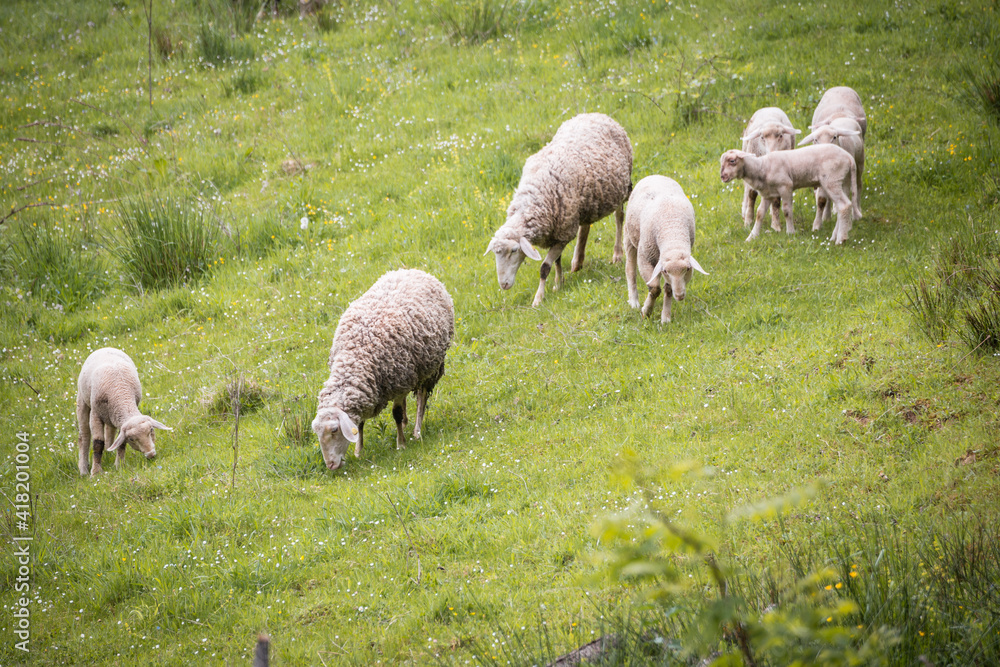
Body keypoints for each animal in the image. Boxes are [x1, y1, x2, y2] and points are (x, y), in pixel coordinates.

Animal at [76, 347, 171, 476]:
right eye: (131, 439)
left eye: (151, 430)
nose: (151, 454)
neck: (120, 393)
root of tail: (105, 347)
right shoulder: (95, 415)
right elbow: (97, 444)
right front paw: (96, 472)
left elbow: (121, 443)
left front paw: (119, 466)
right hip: (82, 399)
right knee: (84, 435)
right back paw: (83, 469)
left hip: (111, 414)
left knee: (110, 429)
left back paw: (109, 451)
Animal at [312, 269, 454, 471]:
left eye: (334, 429)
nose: (331, 465)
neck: (356, 355)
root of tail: (411, 270)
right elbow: (360, 424)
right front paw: (358, 450)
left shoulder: (400, 384)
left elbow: (396, 414)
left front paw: (401, 444)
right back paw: (407, 423)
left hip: (429, 368)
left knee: (422, 397)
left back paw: (417, 431)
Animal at [484, 112, 633, 307]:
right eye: (495, 253)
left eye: (514, 250)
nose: (504, 285)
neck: (534, 199)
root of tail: (595, 114)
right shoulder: (557, 232)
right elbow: (556, 260)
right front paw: (558, 283)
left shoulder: (563, 232)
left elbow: (544, 267)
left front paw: (539, 298)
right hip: (585, 203)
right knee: (585, 225)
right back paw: (577, 261)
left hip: (623, 187)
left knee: (619, 218)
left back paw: (617, 254)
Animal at [624, 175, 708, 324]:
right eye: (665, 271)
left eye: (687, 269)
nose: (679, 296)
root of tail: (655, 175)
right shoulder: (645, 259)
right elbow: (654, 288)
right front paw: (646, 311)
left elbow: (668, 289)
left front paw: (666, 318)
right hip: (630, 237)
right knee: (630, 269)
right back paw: (634, 301)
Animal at [719, 145, 861, 244]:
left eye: (732, 161)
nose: (722, 177)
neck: (762, 167)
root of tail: (849, 157)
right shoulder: (767, 194)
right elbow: (760, 214)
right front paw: (752, 237)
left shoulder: (786, 186)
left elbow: (787, 211)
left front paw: (790, 232)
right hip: (843, 181)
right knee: (844, 206)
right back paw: (835, 236)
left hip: (832, 180)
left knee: (844, 205)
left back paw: (840, 239)